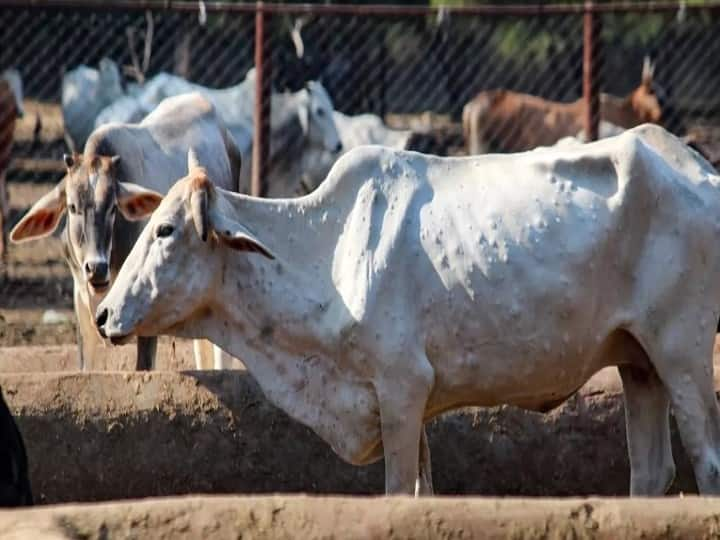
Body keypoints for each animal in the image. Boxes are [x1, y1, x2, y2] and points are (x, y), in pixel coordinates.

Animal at [95, 124, 720, 496]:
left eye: (165, 229)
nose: (103, 315)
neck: (328, 250)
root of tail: (700, 167)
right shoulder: (415, 404)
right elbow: (424, 492)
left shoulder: (400, 388)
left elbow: (398, 494)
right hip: (639, 362)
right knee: (651, 473)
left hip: (683, 354)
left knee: (707, 462)